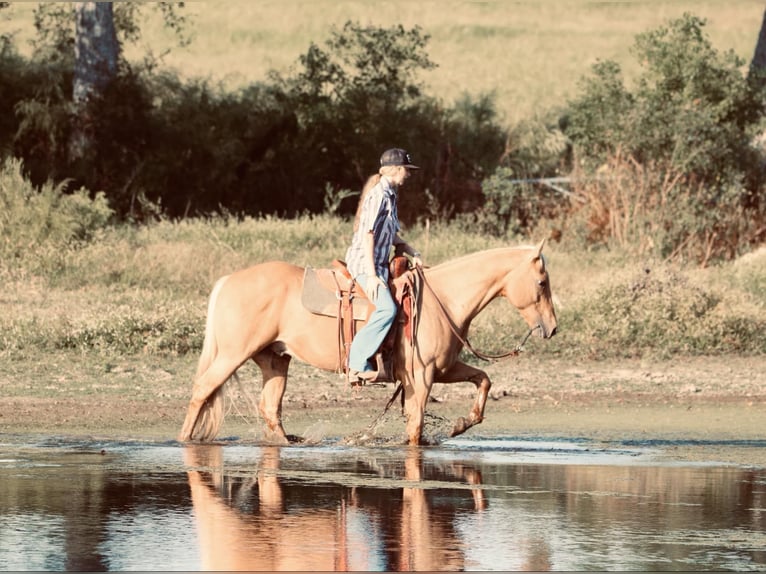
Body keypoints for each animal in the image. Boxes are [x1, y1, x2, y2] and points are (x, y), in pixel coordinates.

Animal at [179, 238, 560, 446]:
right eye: (542, 282)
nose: (552, 328)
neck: (445, 300)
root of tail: (228, 280)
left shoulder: (443, 369)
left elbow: (484, 380)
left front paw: (460, 424)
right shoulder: (421, 378)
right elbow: (415, 426)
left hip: (274, 360)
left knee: (269, 408)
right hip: (233, 354)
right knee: (202, 390)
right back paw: (184, 440)